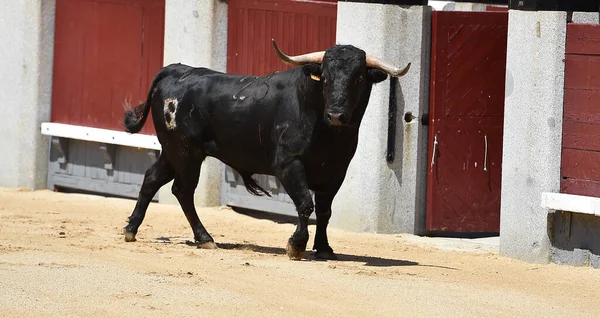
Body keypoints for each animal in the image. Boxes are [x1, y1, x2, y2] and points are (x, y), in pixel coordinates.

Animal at [123, 39, 410, 260]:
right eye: (326, 78)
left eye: (359, 78)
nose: (337, 115)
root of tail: (176, 69)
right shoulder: (288, 165)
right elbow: (305, 204)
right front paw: (296, 246)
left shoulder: (336, 172)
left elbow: (325, 211)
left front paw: (324, 248)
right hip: (185, 154)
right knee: (182, 190)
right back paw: (204, 238)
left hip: (173, 151)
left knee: (152, 179)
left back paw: (131, 229)